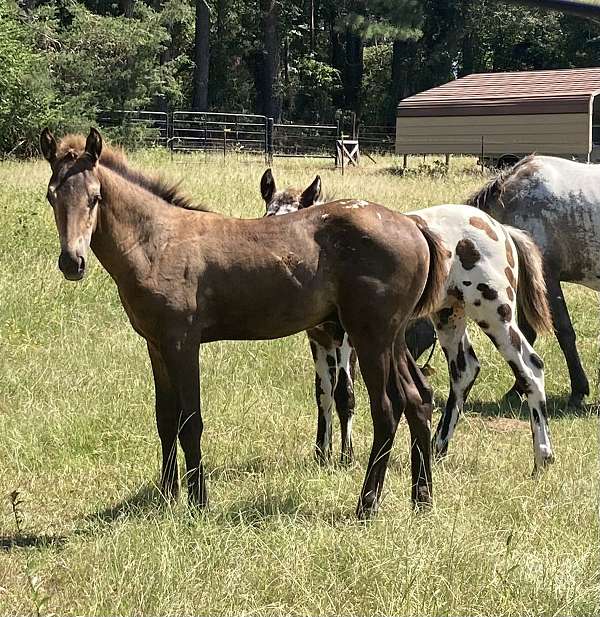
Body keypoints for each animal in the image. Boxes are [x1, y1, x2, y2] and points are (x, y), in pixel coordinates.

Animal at [41, 129, 446, 516]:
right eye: (51, 195)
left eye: (95, 197)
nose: (72, 262)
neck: (157, 243)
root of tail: (413, 225)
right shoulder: (155, 345)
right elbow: (165, 418)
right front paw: (167, 496)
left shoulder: (181, 343)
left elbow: (190, 421)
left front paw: (198, 502)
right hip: (393, 337)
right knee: (419, 398)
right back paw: (422, 500)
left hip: (370, 337)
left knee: (388, 409)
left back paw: (367, 504)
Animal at [260, 168, 556, 472]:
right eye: (268, 217)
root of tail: (501, 230)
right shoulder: (319, 338)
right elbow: (323, 393)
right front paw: (322, 454)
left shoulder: (346, 340)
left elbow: (345, 394)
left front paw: (346, 458)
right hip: (449, 315)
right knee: (464, 371)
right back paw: (437, 448)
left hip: (495, 311)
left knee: (530, 367)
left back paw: (542, 458)